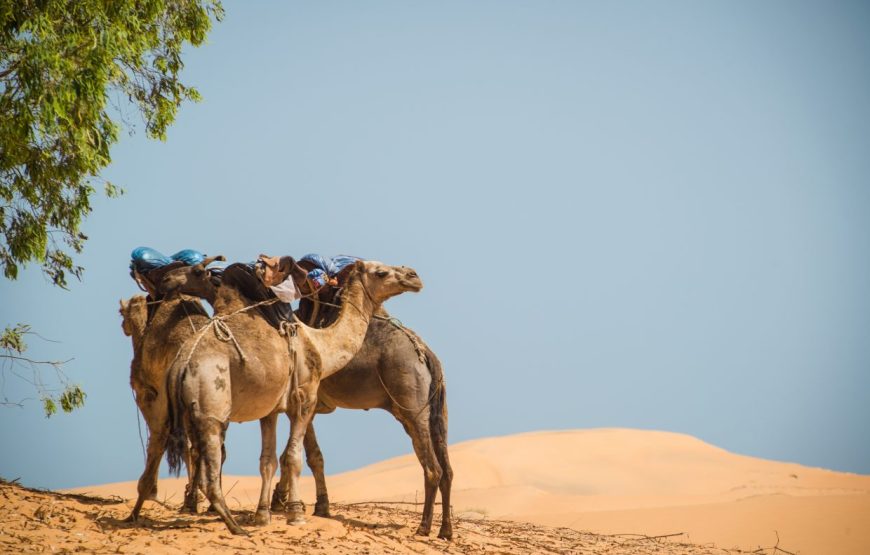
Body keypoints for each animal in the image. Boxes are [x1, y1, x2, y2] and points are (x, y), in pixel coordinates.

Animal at [160, 260, 426, 536]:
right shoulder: (304, 399)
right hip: (211, 403)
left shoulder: (269, 410)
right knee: (211, 467)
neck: (320, 344)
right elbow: (292, 457)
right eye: (381, 272)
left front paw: (262, 516)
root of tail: (181, 363)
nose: (413, 276)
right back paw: (236, 527)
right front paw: (295, 514)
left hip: (190, 413)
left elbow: (267, 461)